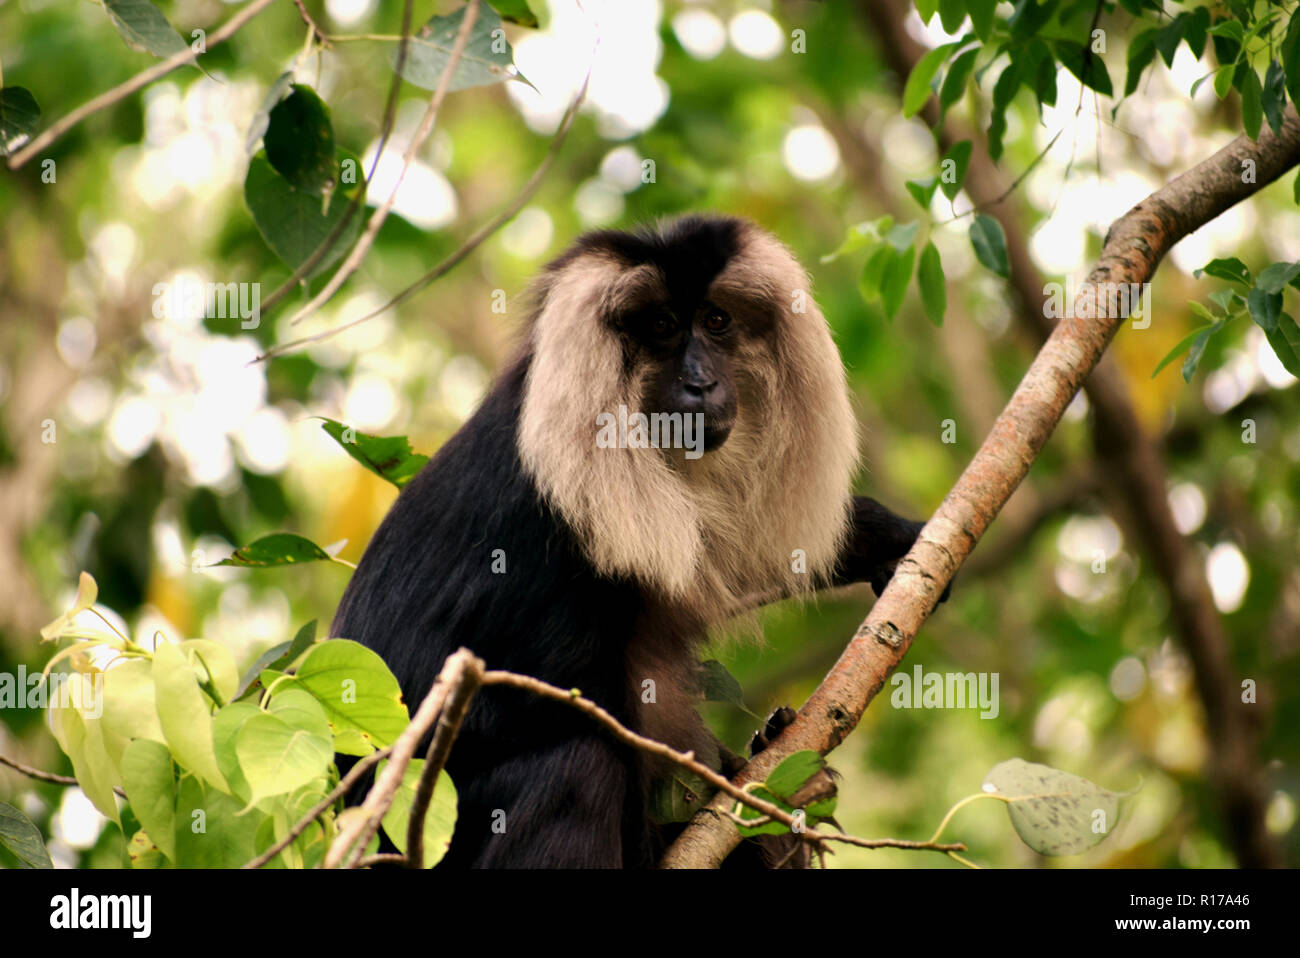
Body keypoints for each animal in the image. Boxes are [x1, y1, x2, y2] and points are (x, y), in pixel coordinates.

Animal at [331, 213, 940, 868]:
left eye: (716, 321)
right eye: (662, 327)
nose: (700, 382)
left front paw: (890, 540)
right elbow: (456, 708)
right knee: (578, 763)